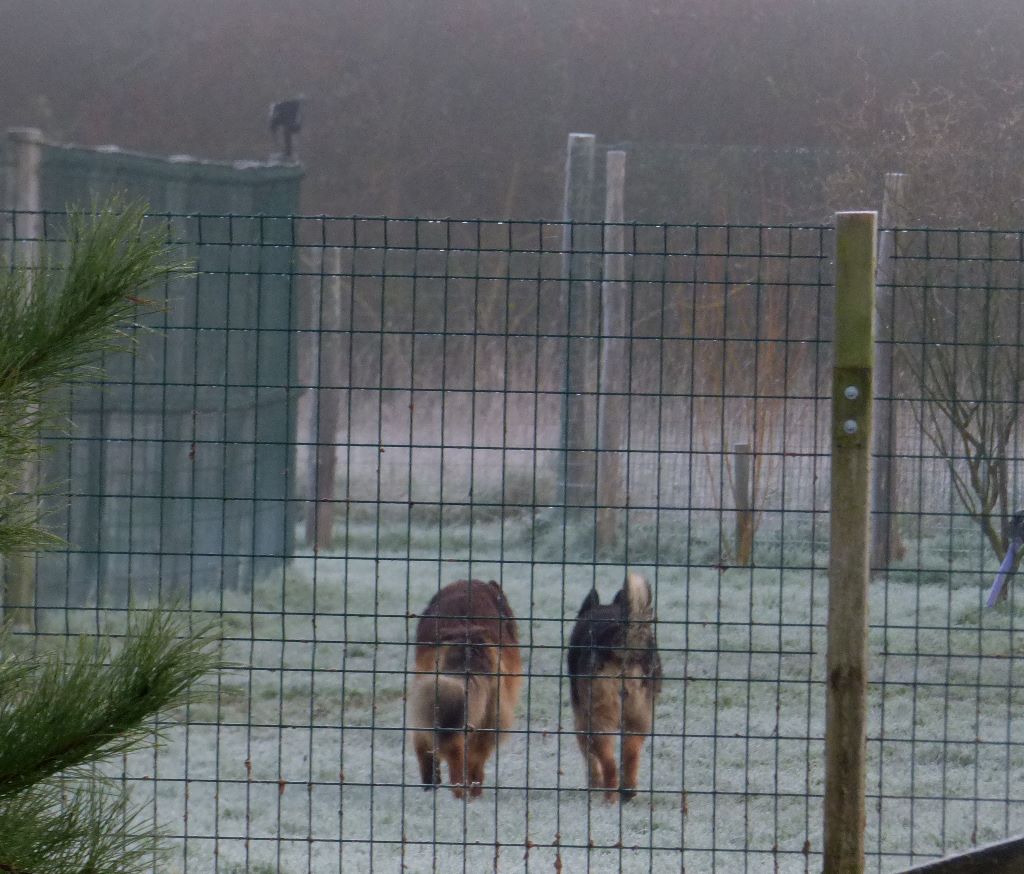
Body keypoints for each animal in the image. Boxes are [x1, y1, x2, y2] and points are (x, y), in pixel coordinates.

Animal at [569, 573, 663, 802]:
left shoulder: (581, 721)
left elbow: (591, 762)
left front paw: (593, 786)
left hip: (599, 721)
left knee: (609, 763)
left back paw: (609, 798)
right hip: (638, 719)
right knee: (630, 755)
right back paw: (628, 792)